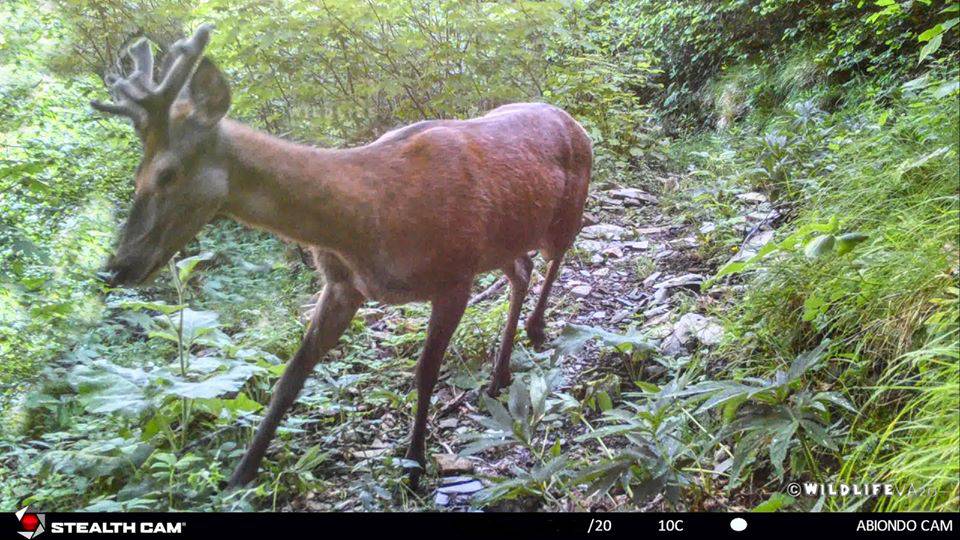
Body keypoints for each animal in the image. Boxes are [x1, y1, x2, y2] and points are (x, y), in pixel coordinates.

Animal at [90, 24, 588, 490]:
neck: (370, 219)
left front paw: (413, 466)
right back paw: (499, 374)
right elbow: (291, 376)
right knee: (522, 269)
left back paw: (535, 330)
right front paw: (241, 474)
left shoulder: (454, 275)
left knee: (557, 255)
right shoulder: (341, 285)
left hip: (565, 211)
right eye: (136, 175)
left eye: (167, 173)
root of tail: (573, 119)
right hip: (502, 239)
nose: (115, 268)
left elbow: (425, 372)